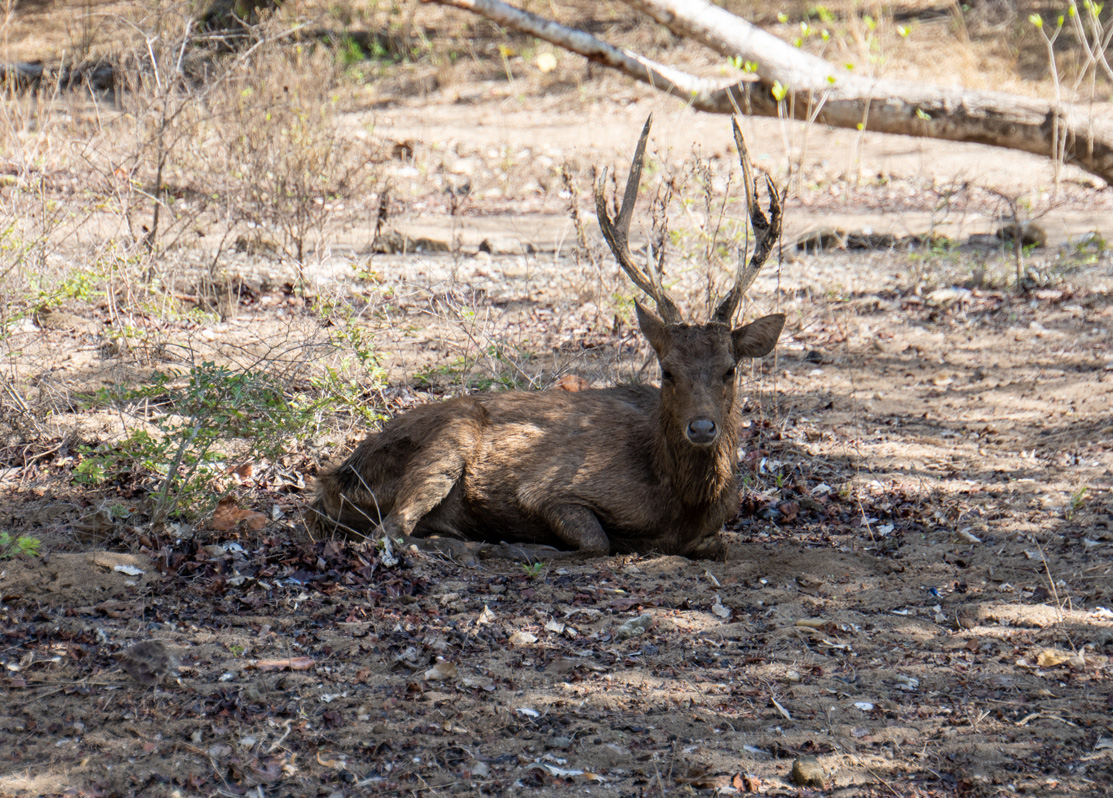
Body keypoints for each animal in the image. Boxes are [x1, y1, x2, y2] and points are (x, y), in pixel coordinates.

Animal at [310, 115, 785, 560]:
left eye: (730, 369)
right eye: (667, 371)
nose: (702, 427)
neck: (680, 503)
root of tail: (331, 480)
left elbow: (719, 544)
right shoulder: (548, 489)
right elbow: (597, 540)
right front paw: (526, 544)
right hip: (446, 441)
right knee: (388, 532)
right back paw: (476, 545)